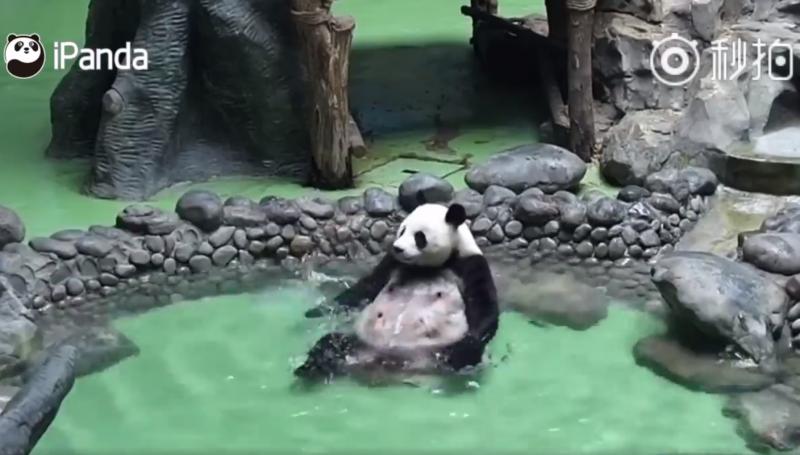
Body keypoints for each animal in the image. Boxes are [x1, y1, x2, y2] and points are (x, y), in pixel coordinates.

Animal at [294, 201, 499, 381]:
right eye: (402, 230)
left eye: (419, 236)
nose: (397, 247)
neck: (425, 267)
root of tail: (386, 360)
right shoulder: (392, 262)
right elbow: (366, 288)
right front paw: (316, 311)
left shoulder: (470, 265)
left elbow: (483, 308)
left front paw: (468, 345)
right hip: (359, 342)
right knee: (332, 341)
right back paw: (314, 365)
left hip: (438, 348)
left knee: (464, 357)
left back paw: (460, 361)